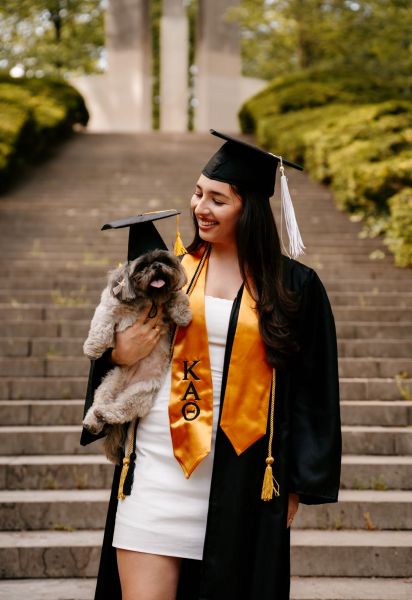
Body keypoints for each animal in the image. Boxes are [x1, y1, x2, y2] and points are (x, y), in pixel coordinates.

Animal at [84, 246, 194, 462]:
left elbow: (177, 296)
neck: (147, 299)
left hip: (140, 392)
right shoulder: (109, 307)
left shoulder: (169, 299)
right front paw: (93, 347)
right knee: (99, 402)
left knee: (121, 409)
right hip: (110, 382)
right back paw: (93, 420)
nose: (157, 266)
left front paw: (183, 314)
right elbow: (101, 325)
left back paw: (103, 415)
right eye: (142, 266)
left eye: (163, 261)